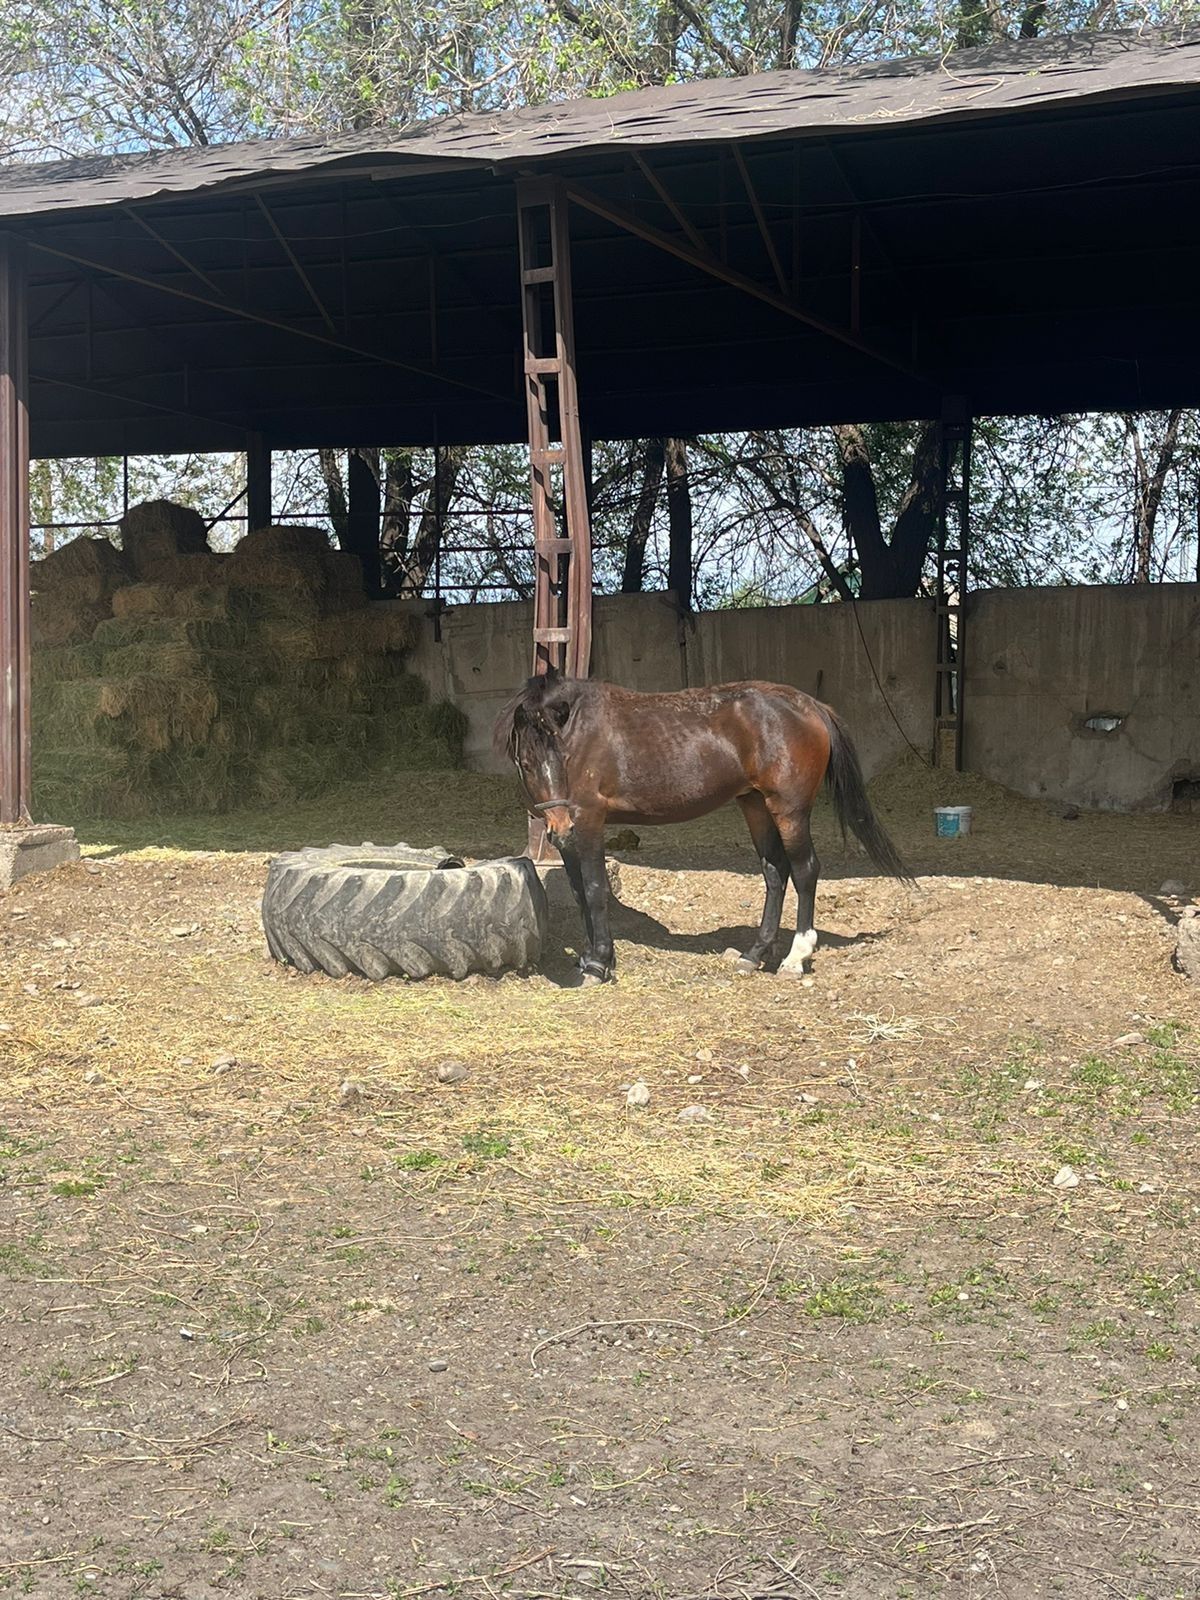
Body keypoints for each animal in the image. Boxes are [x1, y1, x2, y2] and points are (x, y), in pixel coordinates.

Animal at [496, 665, 908, 985]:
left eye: (560, 757)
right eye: (527, 763)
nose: (560, 824)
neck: (582, 731)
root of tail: (811, 706)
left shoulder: (590, 821)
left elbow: (596, 890)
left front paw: (599, 964)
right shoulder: (570, 837)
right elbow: (579, 891)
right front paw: (587, 958)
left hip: (789, 810)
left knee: (805, 870)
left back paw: (795, 958)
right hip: (755, 805)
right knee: (775, 871)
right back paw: (754, 954)